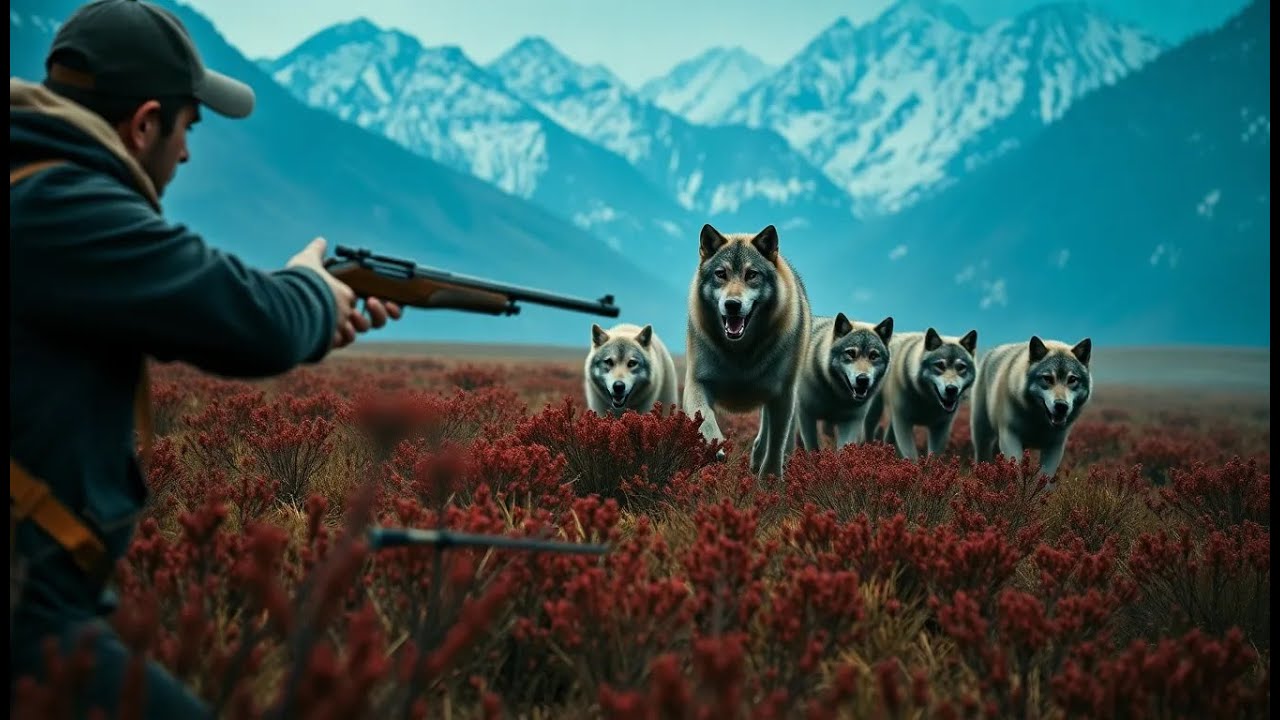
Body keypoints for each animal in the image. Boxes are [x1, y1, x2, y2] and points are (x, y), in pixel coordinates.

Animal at [682, 223, 812, 483]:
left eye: (751, 275)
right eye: (720, 274)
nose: (732, 304)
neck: (740, 353)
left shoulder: (783, 393)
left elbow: (776, 443)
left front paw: (770, 480)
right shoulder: (695, 383)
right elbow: (706, 419)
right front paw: (716, 446)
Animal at [795, 313, 894, 451]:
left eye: (874, 356)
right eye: (851, 353)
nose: (863, 379)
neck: (837, 397)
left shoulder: (851, 422)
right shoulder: (806, 415)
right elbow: (812, 448)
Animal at [864, 328, 979, 460]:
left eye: (961, 367)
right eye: (940, 365)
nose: (951, 389)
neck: (927, 400)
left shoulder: (941, 428)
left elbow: (934, 457)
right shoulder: (903, 423)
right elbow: (911, 456)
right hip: (876, 410)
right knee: (868, 427)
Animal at [970, 335, 1093, 485]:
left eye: (1072, 379)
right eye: (1047, 378)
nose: (1061, 405)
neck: (1038, 421)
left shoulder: (1055, 446)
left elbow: (1045, 478)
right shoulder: (1010, 436)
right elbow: (1016, 471)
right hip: (983, 434)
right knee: (983, 456)